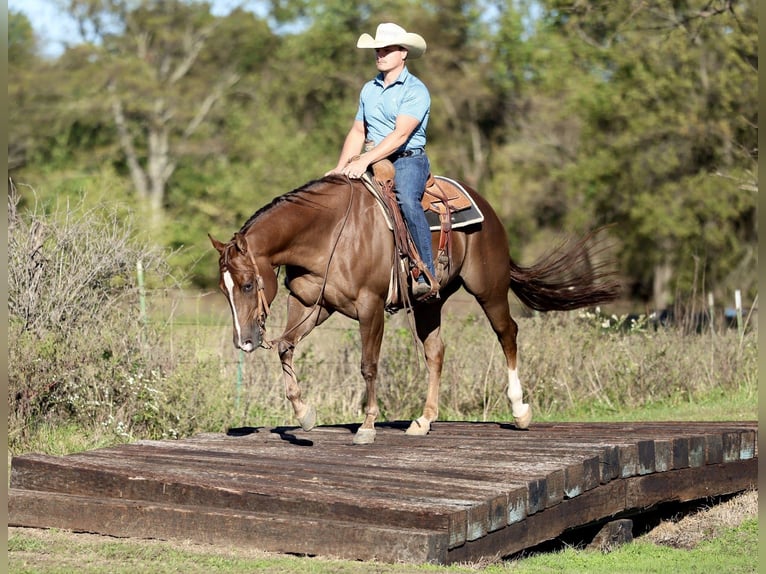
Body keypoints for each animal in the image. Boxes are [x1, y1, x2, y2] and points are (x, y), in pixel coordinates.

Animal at [209, 174, 620, 444]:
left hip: (489, 288)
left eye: (247, 285)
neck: (330, 234)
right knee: (436, 351)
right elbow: (285, 347)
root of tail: (485, 207)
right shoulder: (314, 304)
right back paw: (424, 420)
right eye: (223, 289)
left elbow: (368, 365)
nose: (244, 341)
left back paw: (519, 411)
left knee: (508, 333)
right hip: (430, 301)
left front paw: (367, 426)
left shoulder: (370, 305)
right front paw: (304, 415)